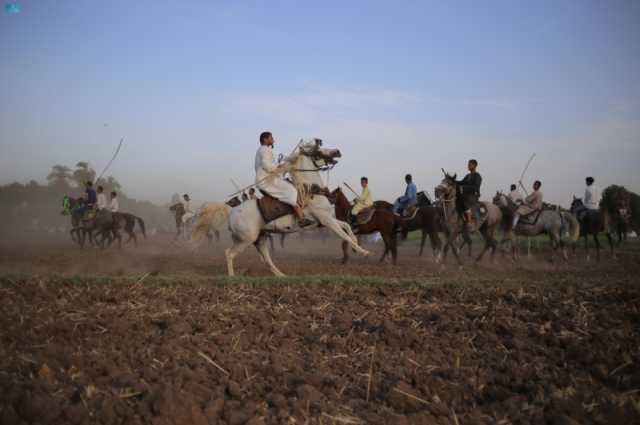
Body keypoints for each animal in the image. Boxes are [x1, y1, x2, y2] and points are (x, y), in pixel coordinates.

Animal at [222, 137, 368, 276]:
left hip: (260, 238)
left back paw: (282, 275)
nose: (337, 151)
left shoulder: (326, 220)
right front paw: (364, 251)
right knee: (229, 253)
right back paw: (232, 277)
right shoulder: (326, 220)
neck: (312, 191)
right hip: (247, 239)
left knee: (266, 259)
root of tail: (231, 215)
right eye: (318, 151)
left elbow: (347, 226)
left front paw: (356, 246)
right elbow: (343, 235)